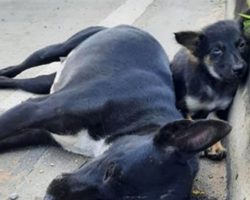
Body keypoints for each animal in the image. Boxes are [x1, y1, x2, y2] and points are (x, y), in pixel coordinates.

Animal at [0, 25, 230, 199]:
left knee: (27, 81)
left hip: (46, 82)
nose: (50, 197)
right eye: (110, 170)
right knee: (26, 63)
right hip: (57, 49)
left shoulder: (39, 132)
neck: (139, 119)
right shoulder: (34, 110)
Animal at [170, 19, 248, 161]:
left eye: (242, 44)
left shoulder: (219, 109)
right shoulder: (182, 107)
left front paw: (216, 147)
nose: (240, 69)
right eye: (216, 50)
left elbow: (215, 124)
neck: (214, 83)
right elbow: (192, 123)